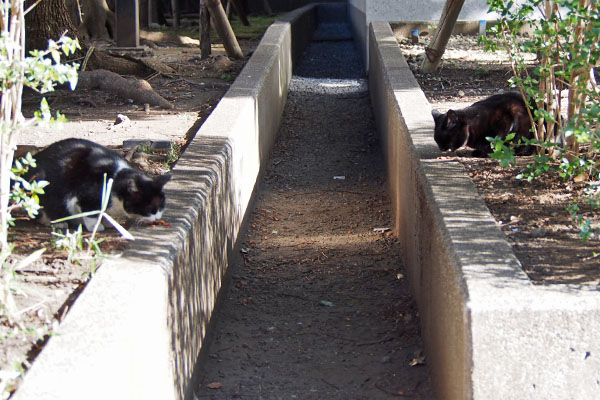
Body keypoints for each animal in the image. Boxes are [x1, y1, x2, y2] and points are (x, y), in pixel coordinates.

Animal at [24, 138, 170, 231]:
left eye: (162, 206)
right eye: (150, 208)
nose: (158, 217)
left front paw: (108, 221)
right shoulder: (86, 196)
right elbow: (92, 212)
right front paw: (95, 226)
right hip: (40, 184)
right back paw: (57, 222)